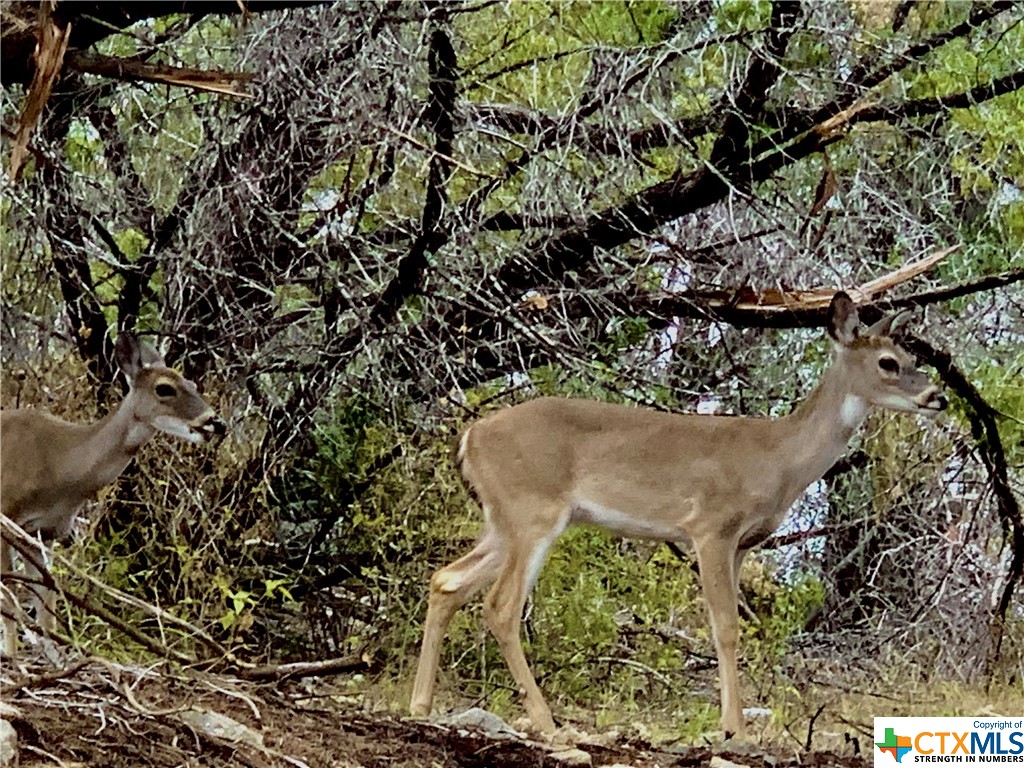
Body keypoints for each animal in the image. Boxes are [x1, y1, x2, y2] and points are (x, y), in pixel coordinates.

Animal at [0, 333, 224, 659]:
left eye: (193, 384)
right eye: (164, 388)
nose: (215, 422)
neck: (58, 464)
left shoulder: (44, 531)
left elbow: (47, 604)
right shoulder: (7, 515)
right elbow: (9, 597)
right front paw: (14, 657)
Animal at [407, 292, 942, 741]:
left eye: (913, 358)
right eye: (888, 362)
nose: (935, 396)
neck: (779, 458)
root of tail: (470, 437)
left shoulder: (743, 544)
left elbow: (726, 626)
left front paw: (730, 722)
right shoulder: (711, 527)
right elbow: (725, 627)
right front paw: (735, 729)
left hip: (502, 520)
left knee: (447, 580)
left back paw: (421, 705)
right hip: (531, 511)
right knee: (500, 605)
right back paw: (548, 723)